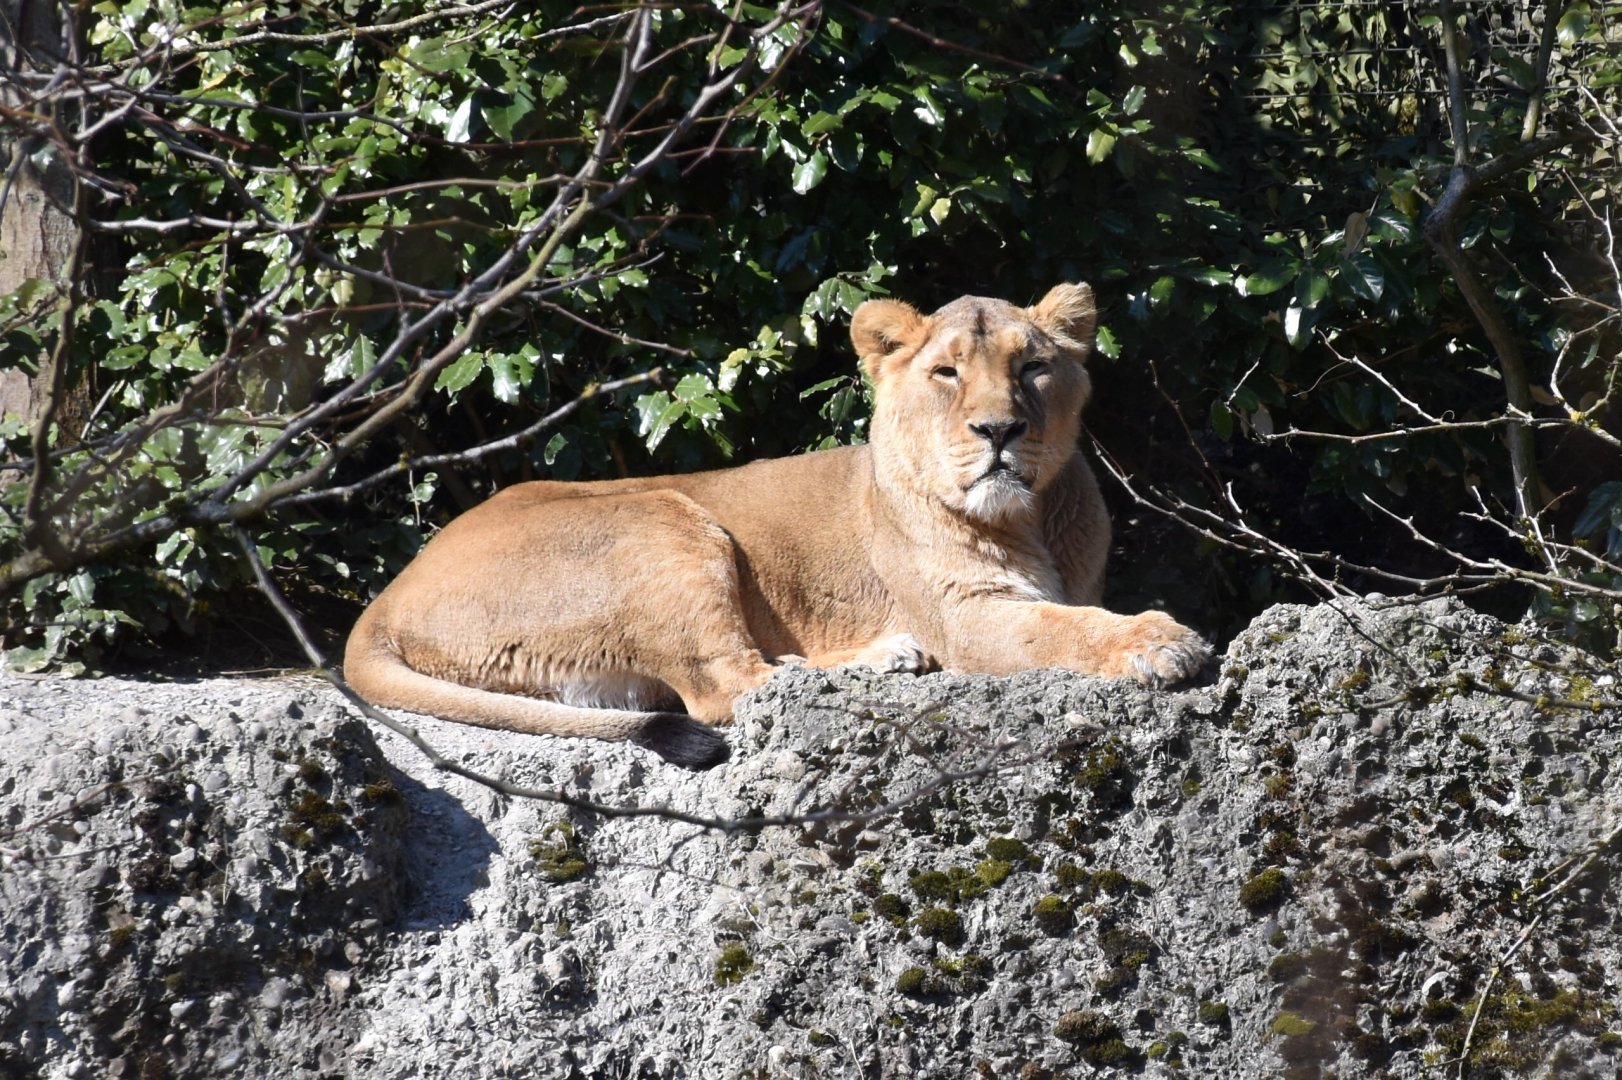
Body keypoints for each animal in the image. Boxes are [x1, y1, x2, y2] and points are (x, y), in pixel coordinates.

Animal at [343, 283, 1210, 766]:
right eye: (946, 373)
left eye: (1032, 368)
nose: (1000, 430)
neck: (1028, 517)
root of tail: (386, 600)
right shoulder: (964, 615)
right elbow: (1063, 627)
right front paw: (1160, 640)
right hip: (662, 520)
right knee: (727, 691)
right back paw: (884, 657)